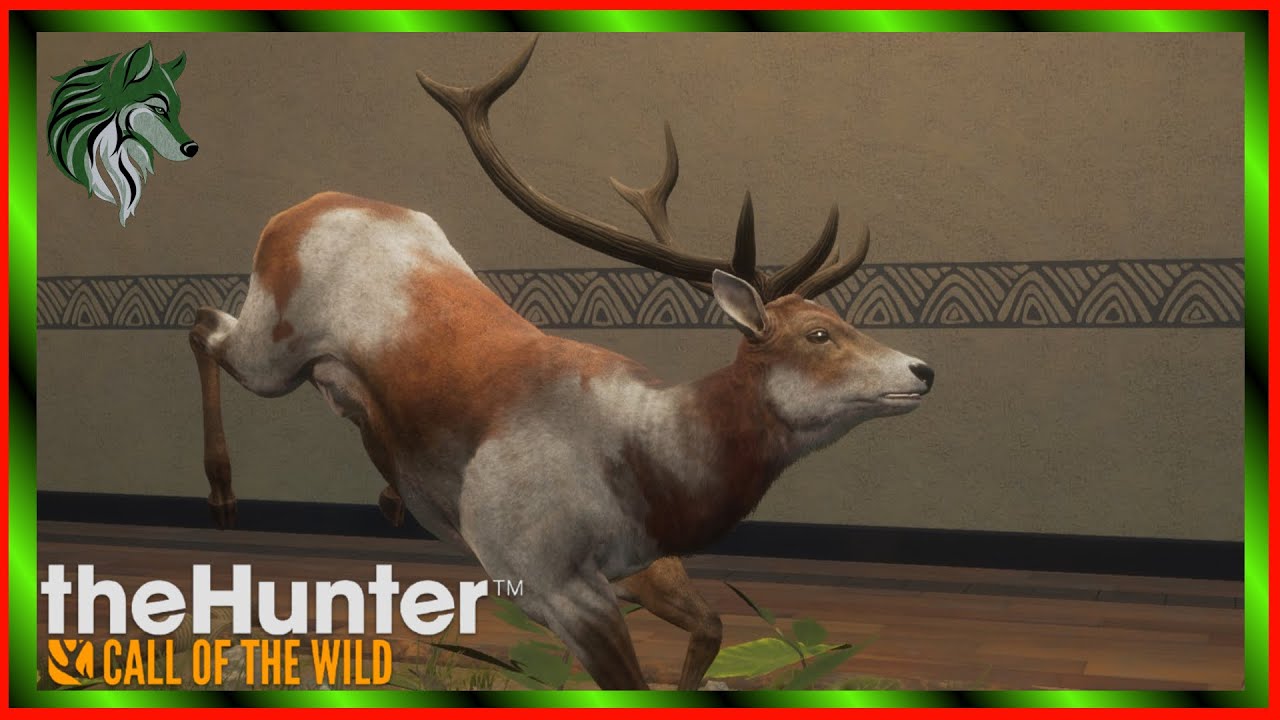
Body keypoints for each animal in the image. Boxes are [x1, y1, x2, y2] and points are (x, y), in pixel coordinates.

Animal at [188, 37, 934, 691]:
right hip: (272, 345)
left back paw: (390, 495)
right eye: (817, 334)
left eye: (841, 318)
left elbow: (713, 630)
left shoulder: (642, 567)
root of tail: (304, 205)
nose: (923, 370)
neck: (651, 467)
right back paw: (222, 496)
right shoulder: (543, 573)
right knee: (204, 325)